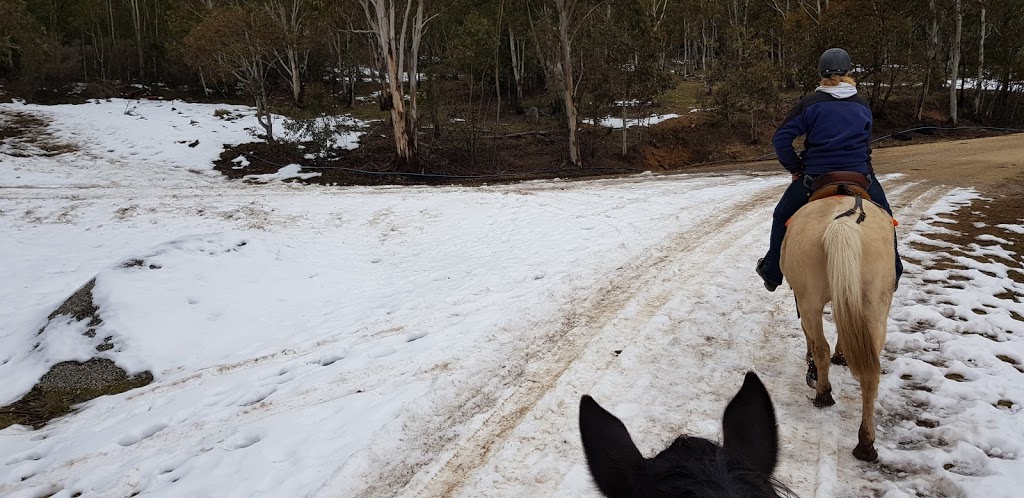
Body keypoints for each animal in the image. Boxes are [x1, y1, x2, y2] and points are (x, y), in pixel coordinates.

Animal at [778, 192, 892, 461]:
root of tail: (844, 223)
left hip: (809, 300)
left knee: (821, 347)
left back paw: (823, 393)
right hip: (875, 306)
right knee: (870, 372)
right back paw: (866, 443)